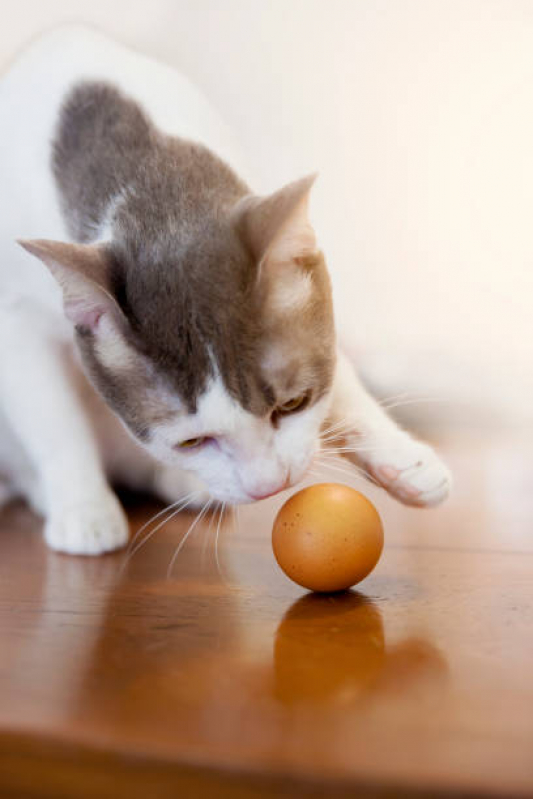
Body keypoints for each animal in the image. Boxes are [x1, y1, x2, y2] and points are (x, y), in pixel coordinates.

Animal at [0, 23, 450, 552]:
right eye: (190, 441)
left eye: (293, 403)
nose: (268, 486)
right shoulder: (15, 321)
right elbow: (56, 422)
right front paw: (83, 507)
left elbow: (340, 373)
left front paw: (401, 457)